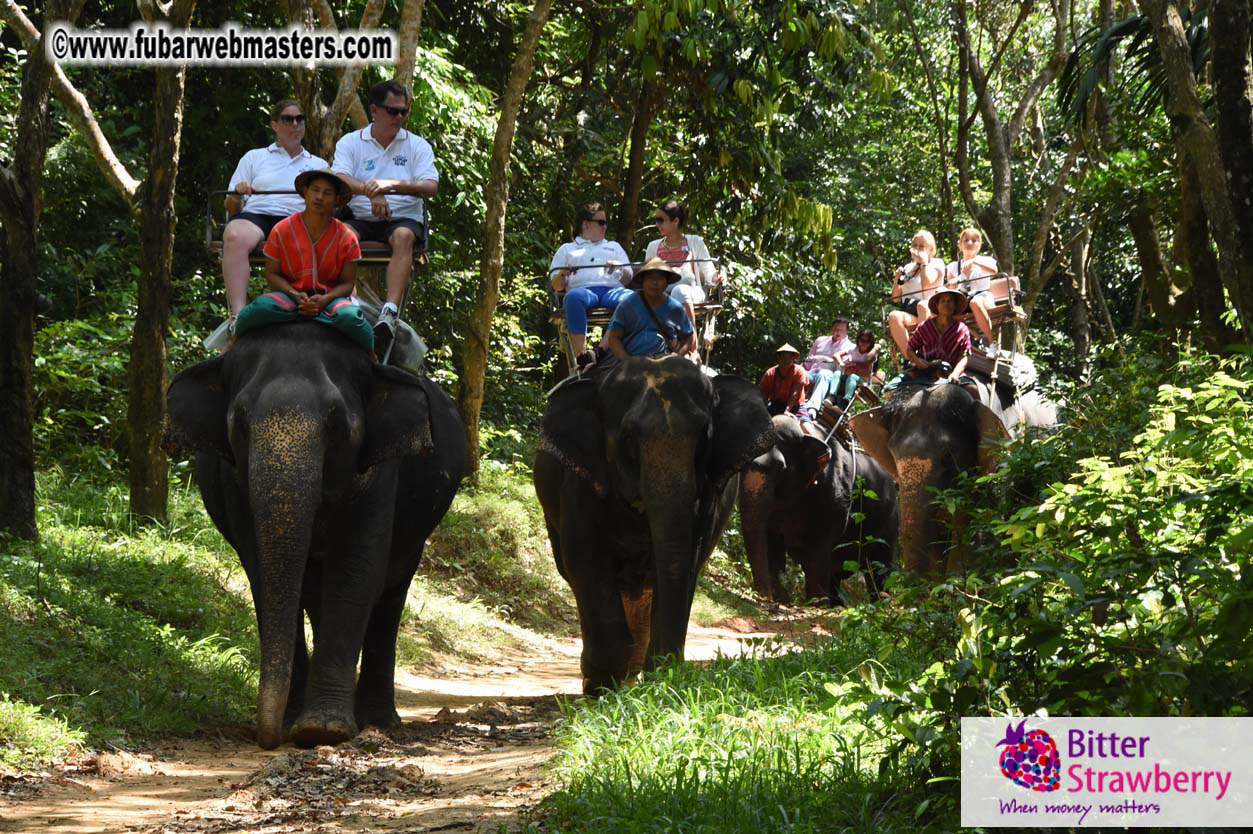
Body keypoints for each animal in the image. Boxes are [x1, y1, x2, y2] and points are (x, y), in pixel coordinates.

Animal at [161, 319, 466, 746]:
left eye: (337, 424)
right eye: (239, 424)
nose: (266, 737)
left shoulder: (379, 471)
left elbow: (355, 569)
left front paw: (322, 730)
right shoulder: (232, 480)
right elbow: (262, 573)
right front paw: (299, 724)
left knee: (390, 594)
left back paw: (379, 722)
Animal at [536, 353, 776, 691]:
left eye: (703, 438)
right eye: (628, 438)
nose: (667, 671)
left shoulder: (709, 499)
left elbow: (685, 563)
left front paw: (657, 676)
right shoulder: (582, 481)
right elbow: (585, 560)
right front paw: (600, 687)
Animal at [736, 413, 897, 603]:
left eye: (780, 467)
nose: (764, 598)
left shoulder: (835, 498)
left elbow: (818, 553)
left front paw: (815, 604)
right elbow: (771, 540)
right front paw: (781, 597)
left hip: (889, 527)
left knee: (879, 568)